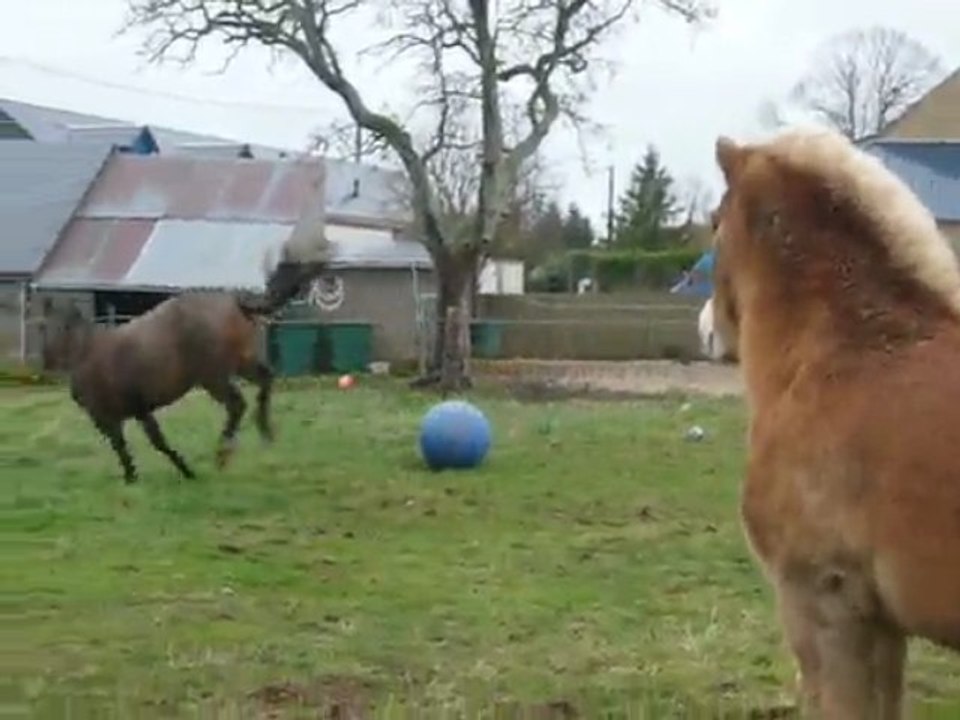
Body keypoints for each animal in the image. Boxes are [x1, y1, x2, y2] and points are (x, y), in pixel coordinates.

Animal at [43, 260, 325, 484]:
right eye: (46, 325)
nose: (47, 361)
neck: (85, 353)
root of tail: (234, 300)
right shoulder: (120, 417)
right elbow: (124, 448)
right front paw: (133, 477)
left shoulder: (126, 412)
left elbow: (154, 443)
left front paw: (186, 471)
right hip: (241, 362)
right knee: (266, 380)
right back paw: (265, 432)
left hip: (213, 376)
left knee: (237, 404)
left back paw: (223, 453)